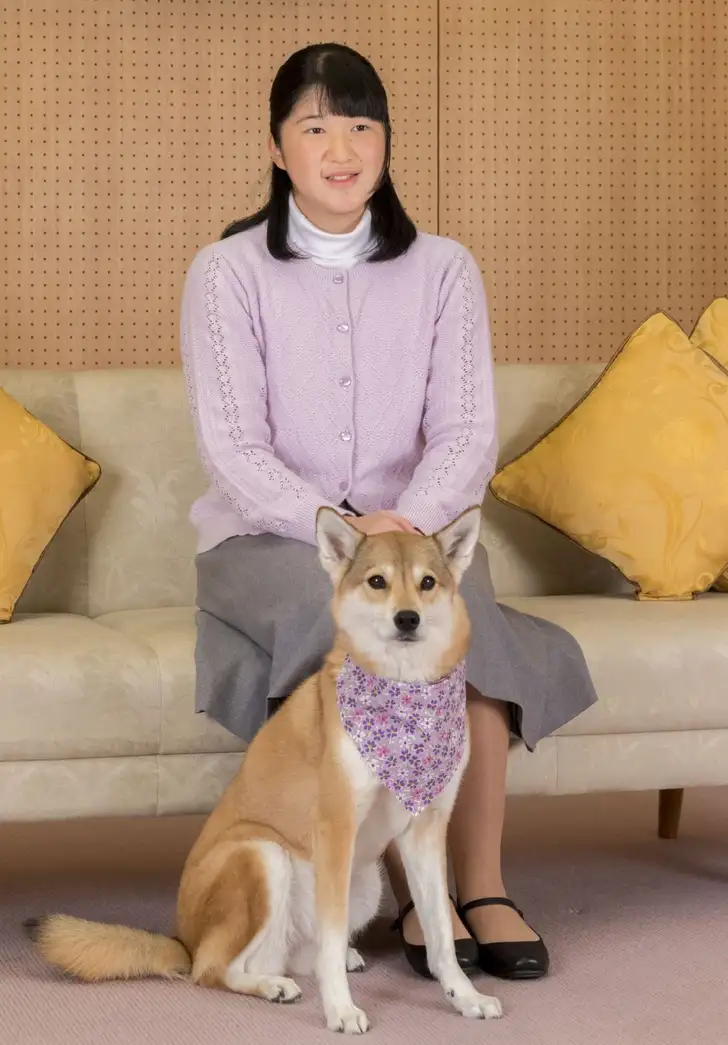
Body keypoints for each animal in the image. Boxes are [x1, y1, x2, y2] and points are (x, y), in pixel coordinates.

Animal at [26, 506, 503, 1033]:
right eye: (377, 581)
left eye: (427, 582)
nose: (407, 618)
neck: (404, 693)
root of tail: (181, 937)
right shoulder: (335, 830)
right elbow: (333, 946)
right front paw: (341, 1009)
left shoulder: (425, 832)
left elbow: (440, 936)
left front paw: (465, 996)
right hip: (262, 855)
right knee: (212, 969)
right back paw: (271, 985)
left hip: (363, 883)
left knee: (296, 955)